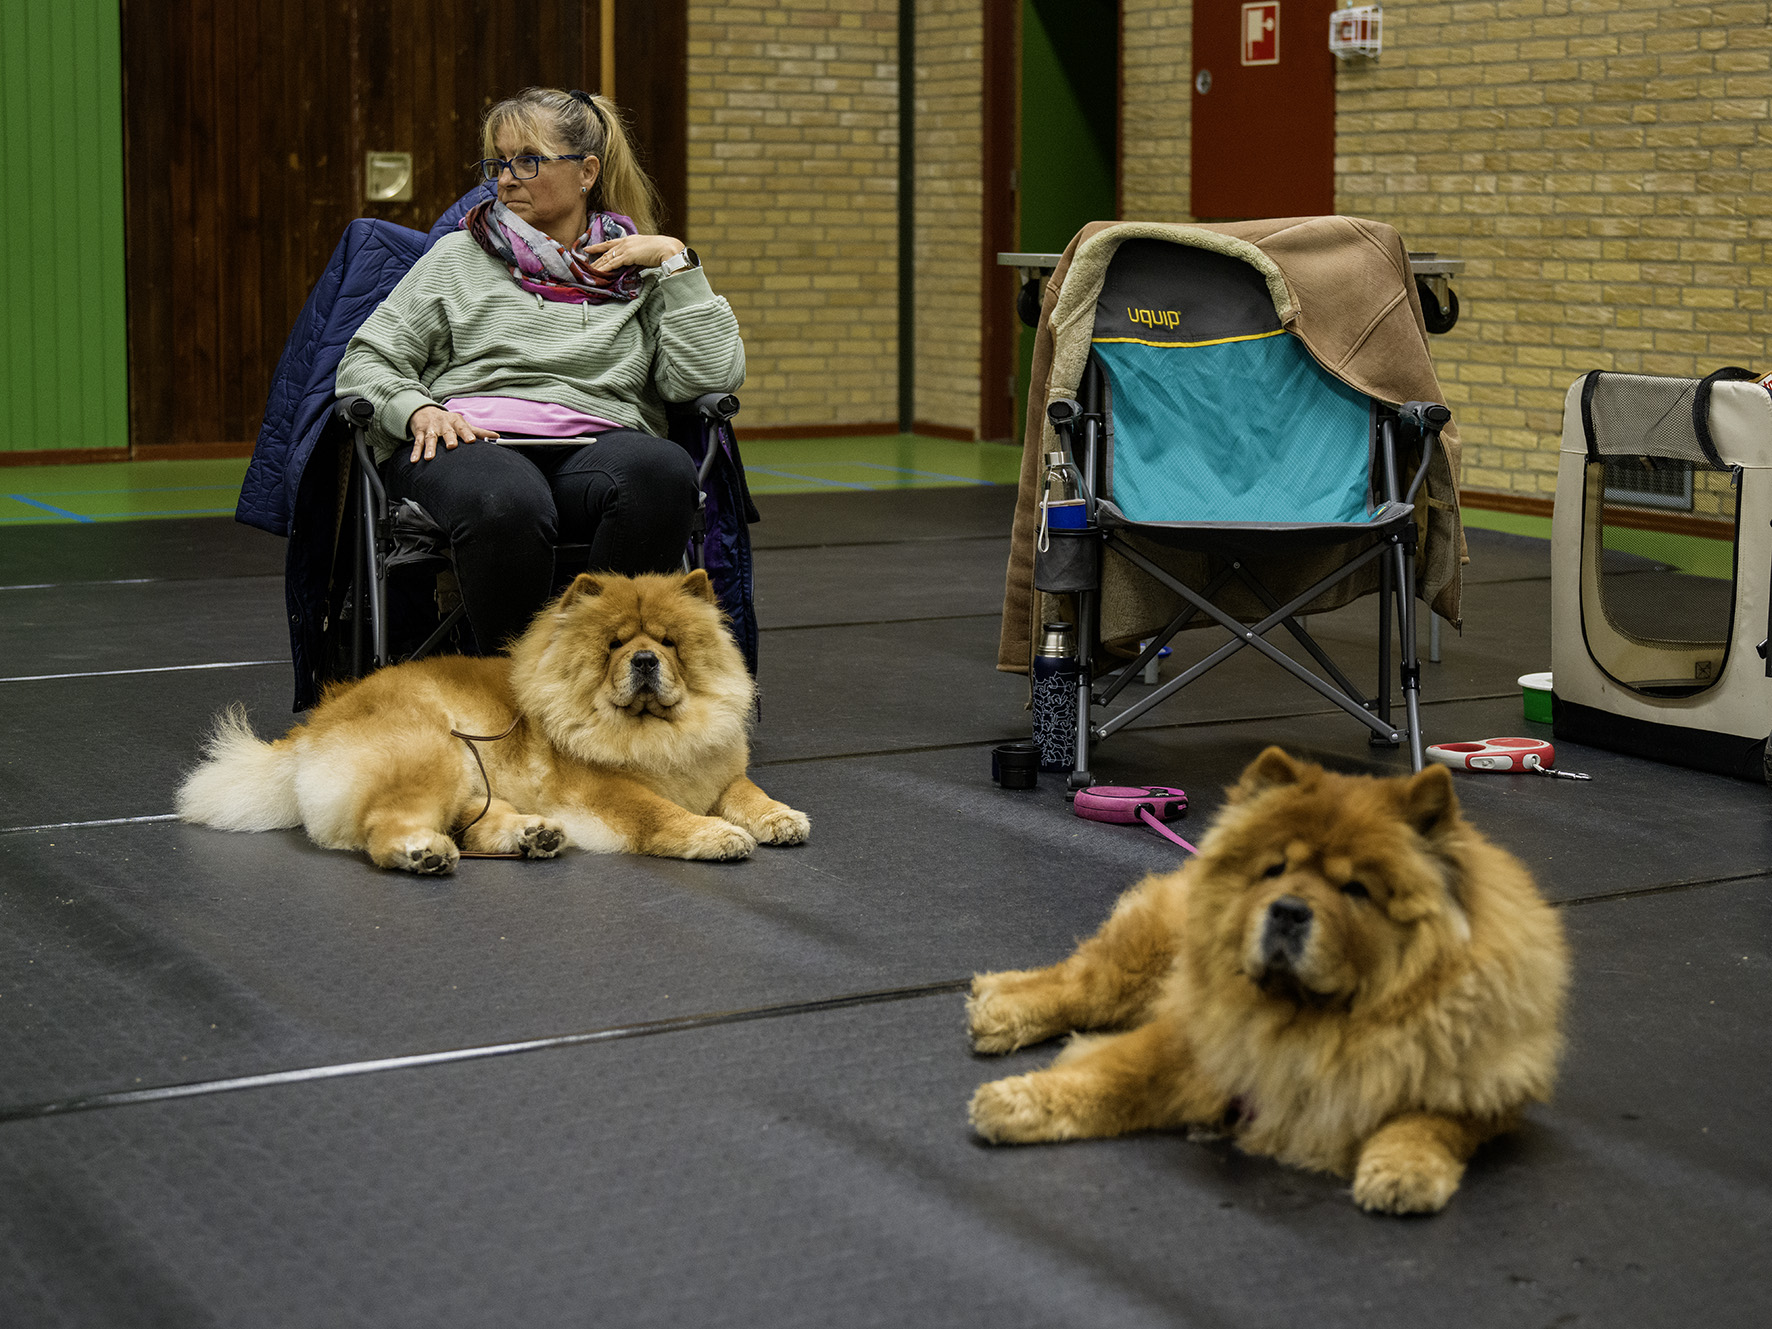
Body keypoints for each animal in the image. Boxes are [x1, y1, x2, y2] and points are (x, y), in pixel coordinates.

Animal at [177, 570, 809, 872]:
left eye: (670, 642)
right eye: (614, 645)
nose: (646, 660)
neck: (655, 734)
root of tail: (316, 723)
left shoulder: (717, 771)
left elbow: (747, 792)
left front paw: (780, 818)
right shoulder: (607, 788)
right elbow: (660, 813)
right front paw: (716, 835)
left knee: (476, 824)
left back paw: (534, 835)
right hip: (430, 756)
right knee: (384, 826)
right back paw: (424, 854)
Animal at [965, 747, 1568, 1214]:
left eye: (1355, 889)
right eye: (1275, 869)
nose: (1288, 909)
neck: (1314, 1022)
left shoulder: (1475, 1085)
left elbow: (1428, 1122)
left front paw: (1402, 1173)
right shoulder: (1191, 1042)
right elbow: (1109, 1077)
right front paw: (1010, 1103)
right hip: (1146, 960)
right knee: (1080, 983)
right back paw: (995, 1011)